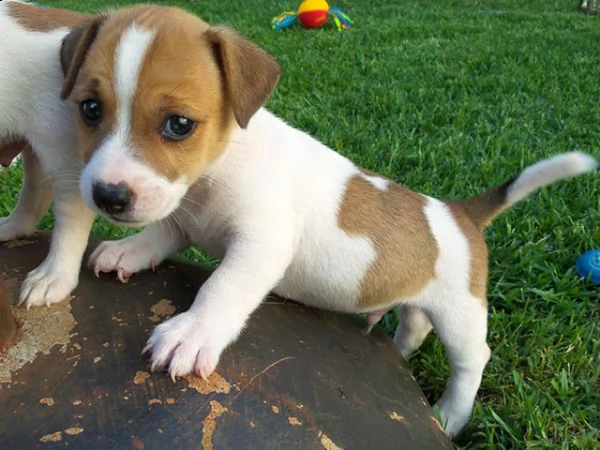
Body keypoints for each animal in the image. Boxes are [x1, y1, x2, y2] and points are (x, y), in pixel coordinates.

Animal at [58, 5, 596, 438]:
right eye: (90, 108)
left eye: (179, 125)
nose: (107, 196)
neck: (222, 163)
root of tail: (458, 211)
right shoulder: (181, 216)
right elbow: (157, 234)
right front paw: (126, 250)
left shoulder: (262, 244)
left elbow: (222, 287)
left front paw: (193, 332)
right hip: (418, 301)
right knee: (413, 325)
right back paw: (398, 354)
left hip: (460, 315)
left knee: (471, 361)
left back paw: (449, 413)